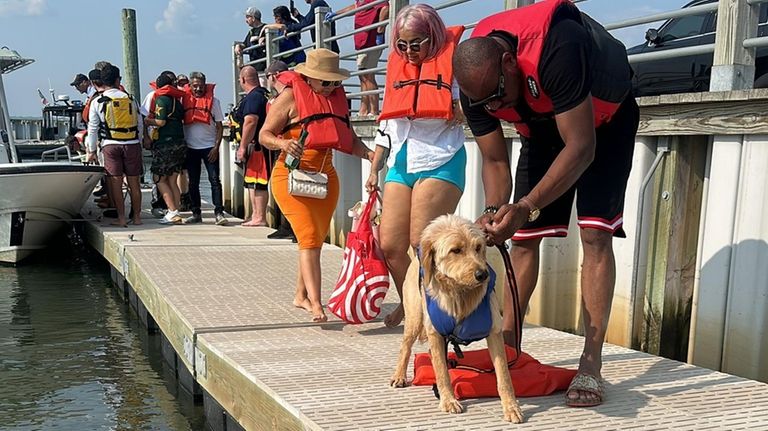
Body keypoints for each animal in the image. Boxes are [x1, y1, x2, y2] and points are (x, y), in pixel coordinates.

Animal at [388, 214, 524, 424]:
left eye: (478, 247)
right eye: (456, 250)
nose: (483, 275)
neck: (460, 292)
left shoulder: (494, 332)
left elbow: (504, 376)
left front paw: (511, 407)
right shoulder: (435, 333)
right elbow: (442, 372)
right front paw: (449, 400)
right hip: (414, 319)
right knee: (406, 347)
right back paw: (399, 375)